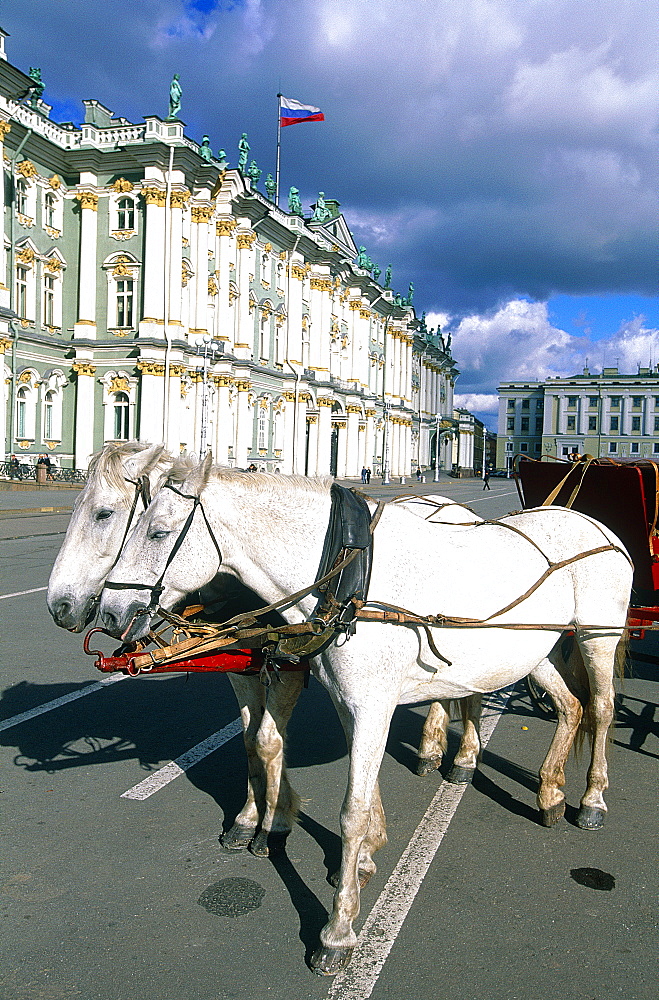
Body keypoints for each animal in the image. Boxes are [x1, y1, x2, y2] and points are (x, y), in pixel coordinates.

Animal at [99, 460, 636, 976]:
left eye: (157, 532)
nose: (107, 612)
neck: (351, 578)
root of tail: (591, 522)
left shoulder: (372, 705)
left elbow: (351, 811)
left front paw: (338, 930)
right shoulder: (349, 702)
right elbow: (366, 788)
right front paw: (360, 863)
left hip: (597, 636)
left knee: (601, 709)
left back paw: (591, 799)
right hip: (533, 652)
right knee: (571, 707)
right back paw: (549, 792)